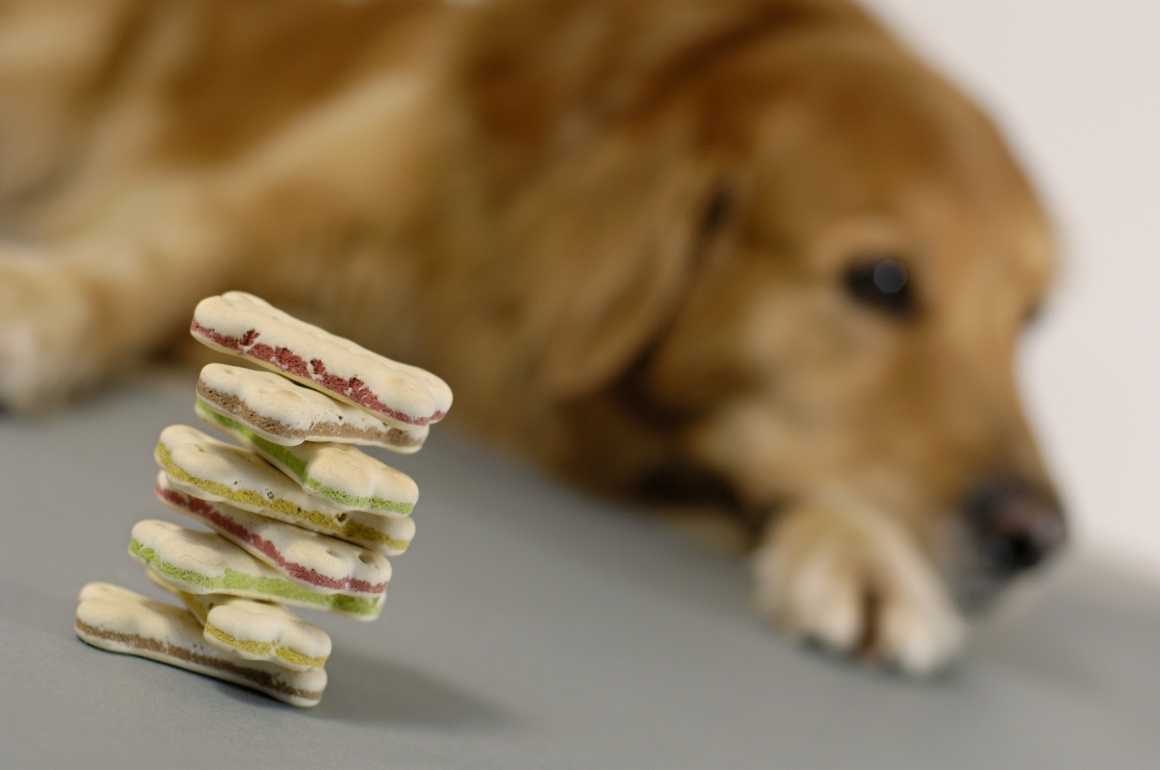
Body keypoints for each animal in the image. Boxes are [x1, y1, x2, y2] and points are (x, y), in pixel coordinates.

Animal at [2, 0, 1067, 672]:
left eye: (1033, 316)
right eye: (883, 281)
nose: (1037, 539)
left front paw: (869, 552)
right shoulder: (279, 200)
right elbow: (146, 258)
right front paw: (35, 298)